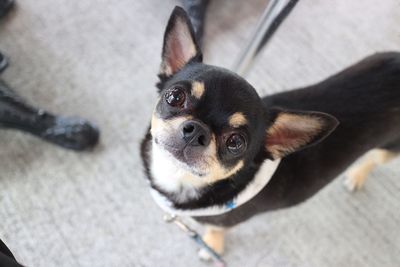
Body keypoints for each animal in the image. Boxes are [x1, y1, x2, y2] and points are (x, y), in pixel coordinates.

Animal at [141, 5, 400, 258]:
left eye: (235, 142)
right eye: (175, 97)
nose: (197, 131)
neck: (178, 177)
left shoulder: (223, 222)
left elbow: (215, 230)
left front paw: (211, 246)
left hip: (389, 150)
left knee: (375, 159)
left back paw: (357, 176)